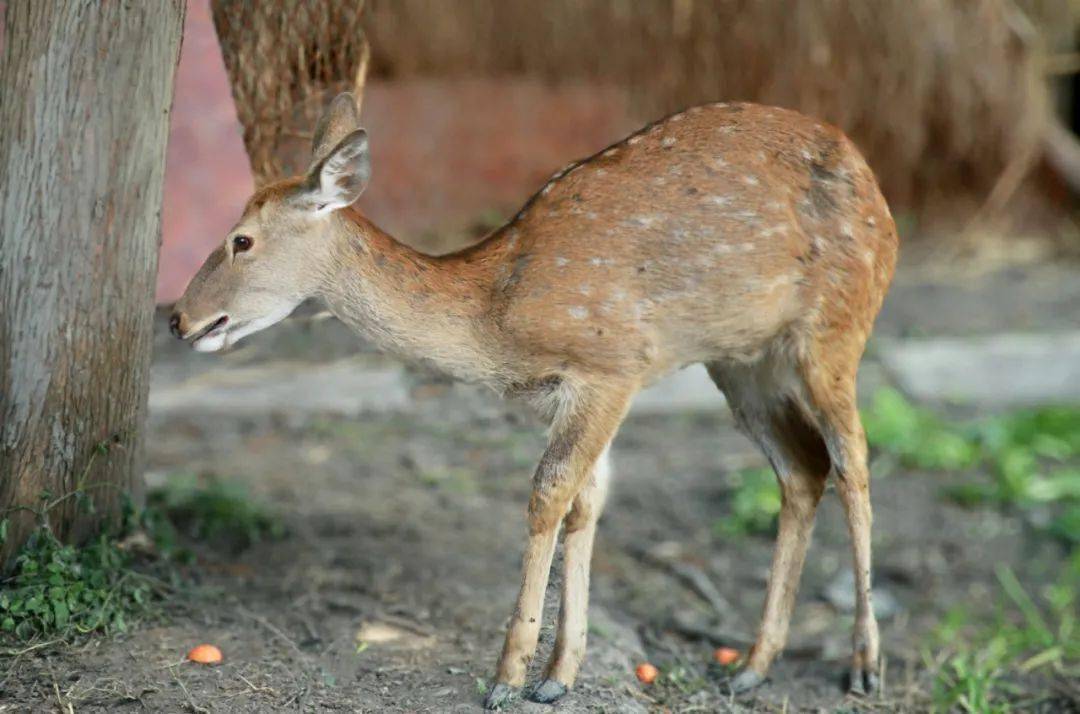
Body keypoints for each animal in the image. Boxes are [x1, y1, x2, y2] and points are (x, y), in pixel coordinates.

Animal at [168, 84, 894, 708]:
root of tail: (877, 191)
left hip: (836, 327)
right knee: (803, 467)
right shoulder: (571, 397)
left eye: (241, 240)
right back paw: (752, 666)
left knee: (854, 457)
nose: (179, 319)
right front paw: (558, 675)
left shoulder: (613, 366)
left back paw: (864, 663)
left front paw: (505, 678)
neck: (495, 318)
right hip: (741, 362)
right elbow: (586, 503)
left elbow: (548, 494)